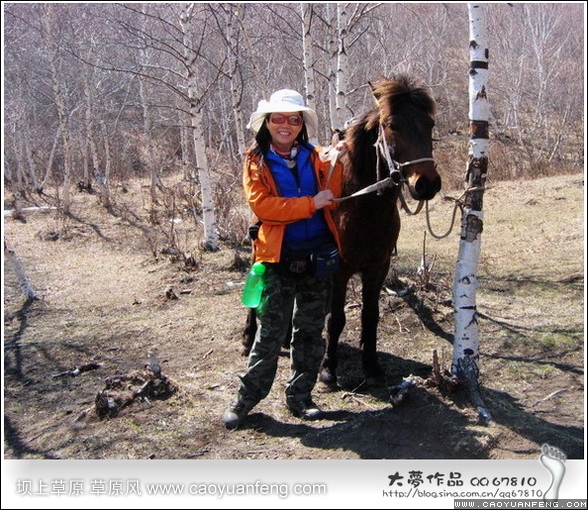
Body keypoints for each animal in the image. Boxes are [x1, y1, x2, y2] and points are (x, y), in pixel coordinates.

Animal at [241, 74, 438, 386]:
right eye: (392, 124)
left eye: (429, 124)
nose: (427, 183)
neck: (362, 206)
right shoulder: (339, 270)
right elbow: (336, 320)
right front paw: (328, 369)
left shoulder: (378, 267)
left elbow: (371, 315)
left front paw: (371, 366)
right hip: (259, 248)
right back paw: (249, 337)